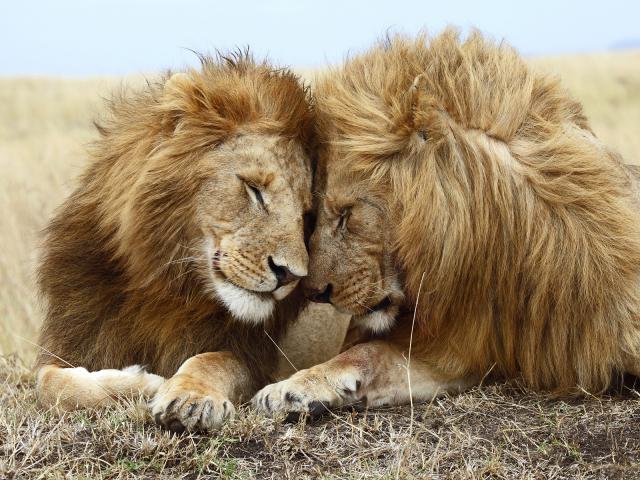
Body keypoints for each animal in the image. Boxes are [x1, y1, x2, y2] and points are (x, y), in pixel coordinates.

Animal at [36, 52, 316, 432]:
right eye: (254, 189)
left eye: (306, 213)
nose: (290, 275)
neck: (165, 285)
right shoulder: (72, 341)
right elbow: (49, 383)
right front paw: (140, 383)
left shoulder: (252, 356)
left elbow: (212, 360)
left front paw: (189, 398)